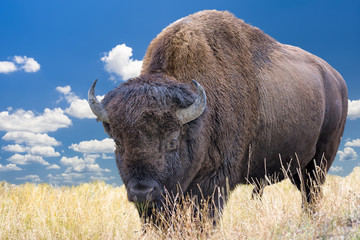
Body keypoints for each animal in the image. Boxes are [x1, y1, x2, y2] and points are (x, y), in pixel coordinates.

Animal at [87, 9, 346, 219]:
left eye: (173, 140)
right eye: (118, 142)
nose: (142, 192)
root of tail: (336, 79)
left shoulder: (214, 181)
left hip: (320, 160)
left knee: (312, 193)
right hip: (297, 167)